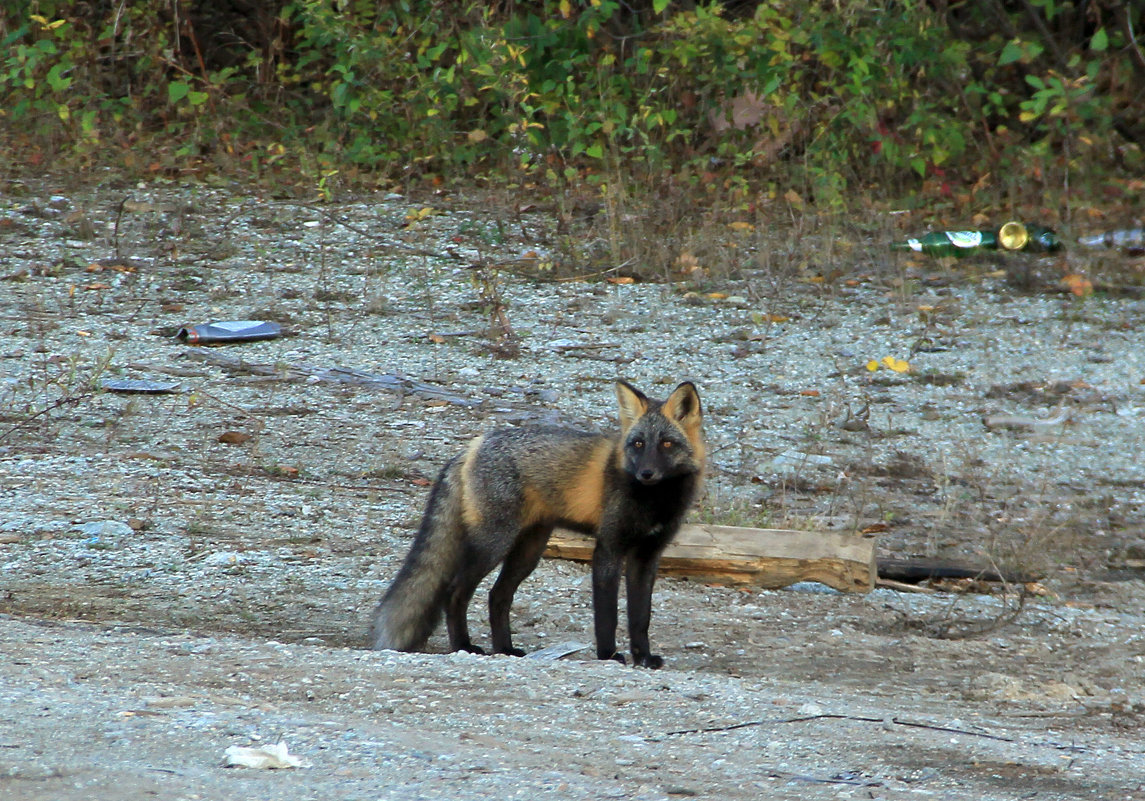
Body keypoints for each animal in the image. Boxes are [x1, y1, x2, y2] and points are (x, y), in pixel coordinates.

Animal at [370, 377, 700, 668]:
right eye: (638, 444)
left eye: (667, 444)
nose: (646, 473)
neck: (654, 501)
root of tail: (472, 445)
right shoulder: (608, 548)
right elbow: (607, 615)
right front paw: (608, 655)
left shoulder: (647, 557)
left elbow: (640, 618)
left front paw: (643, 658)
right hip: (494, 544)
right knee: (455, 592)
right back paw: (464, 645)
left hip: (528, 551)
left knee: (497, 596)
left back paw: (504, 649)